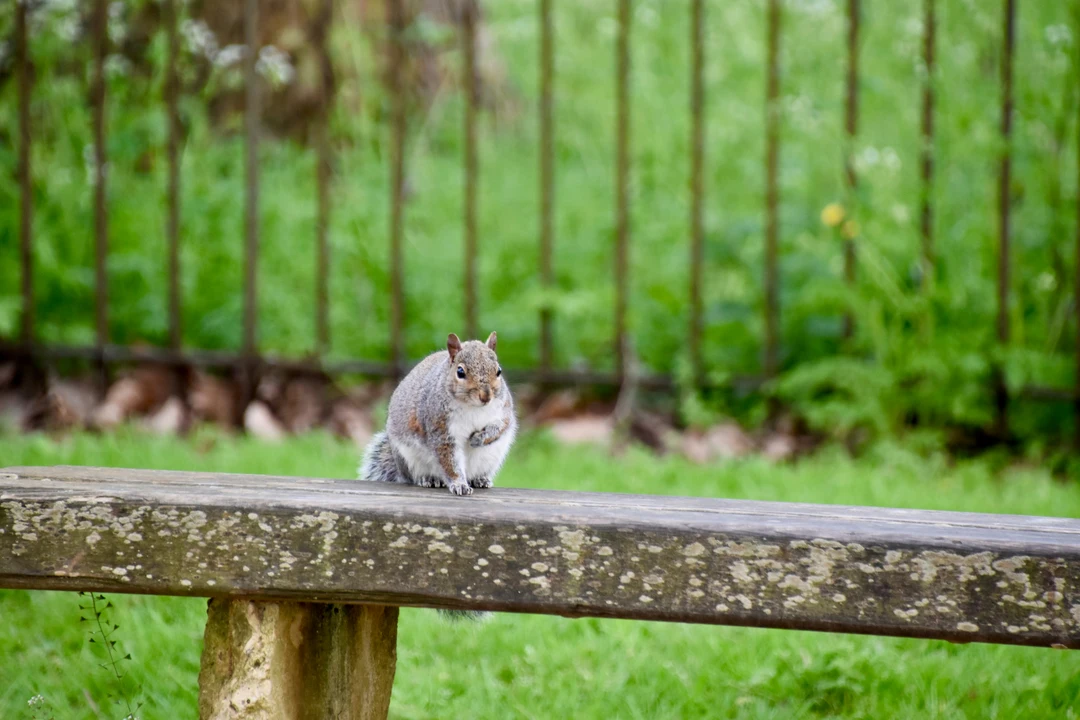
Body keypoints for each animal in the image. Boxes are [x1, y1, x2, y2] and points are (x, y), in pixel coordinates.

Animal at [360, 330, 516, 496]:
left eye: (499, 371)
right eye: (460, 372)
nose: (486, 396)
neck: (473, 407)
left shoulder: (504, 409)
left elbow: (501, 427)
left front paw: (479, 438)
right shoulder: (440, 428)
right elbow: (450, 461)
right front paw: (459, 484)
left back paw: (480, 479)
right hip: (408, 459)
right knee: (414, 476)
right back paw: (429, 479)